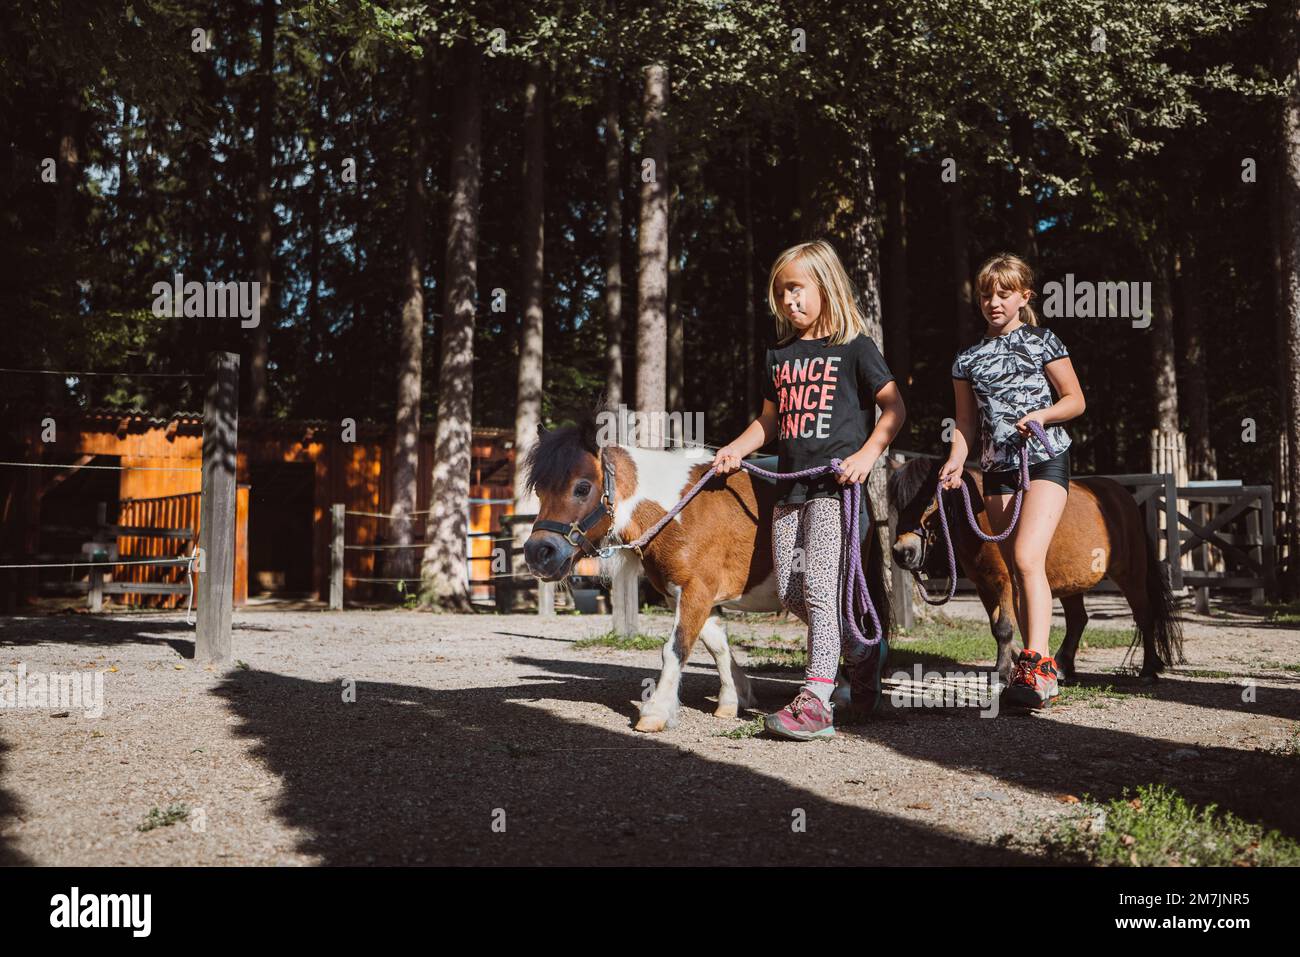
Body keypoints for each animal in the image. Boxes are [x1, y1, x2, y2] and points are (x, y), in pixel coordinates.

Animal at [520, 418, 894, 733]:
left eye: (582, 488)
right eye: (539, 490)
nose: (539, 553)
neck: (676, 510)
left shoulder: (696, 590)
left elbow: (676, 648)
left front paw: (656, 711)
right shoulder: (694, 594)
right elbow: (716, 645)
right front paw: (733, 697)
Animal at [889, 455, 1185, 681]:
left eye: (929, 501)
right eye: (896, 504)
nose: (903, 553)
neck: (983, 519)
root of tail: (1123, 498)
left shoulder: (1006, 583)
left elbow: (1004, 627)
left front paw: (1001, 671)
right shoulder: (984, 586)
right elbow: (996, 627)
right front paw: (1017, 659)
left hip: (1131, 575)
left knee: (1144, 615)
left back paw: (1148, 670)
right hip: (1072, 582)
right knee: (1078, 620)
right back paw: (1064, 667)